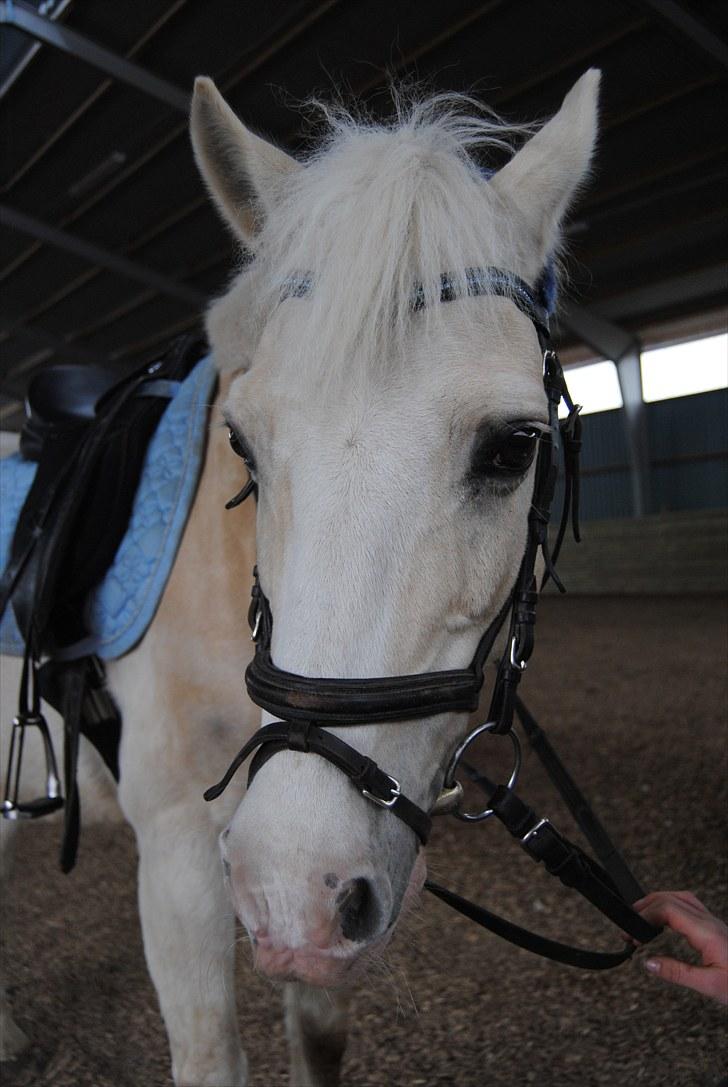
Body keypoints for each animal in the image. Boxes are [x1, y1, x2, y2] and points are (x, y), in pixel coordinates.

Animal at [1, 70, 599, 1087]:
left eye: (514, 446)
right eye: (243, 444)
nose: (291, 892)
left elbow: (318, 1031)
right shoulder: (180, 855)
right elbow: (211, 1053)